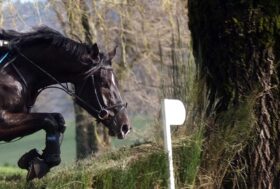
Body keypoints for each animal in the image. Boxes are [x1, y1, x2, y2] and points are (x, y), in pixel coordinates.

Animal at [0, 26, 131, 180]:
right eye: (104, 83)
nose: (125, 127)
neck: (17, 71)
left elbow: (57, 120)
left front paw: (35, 159)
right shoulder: (3, 121)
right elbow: (49, 120)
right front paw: (42, 161)